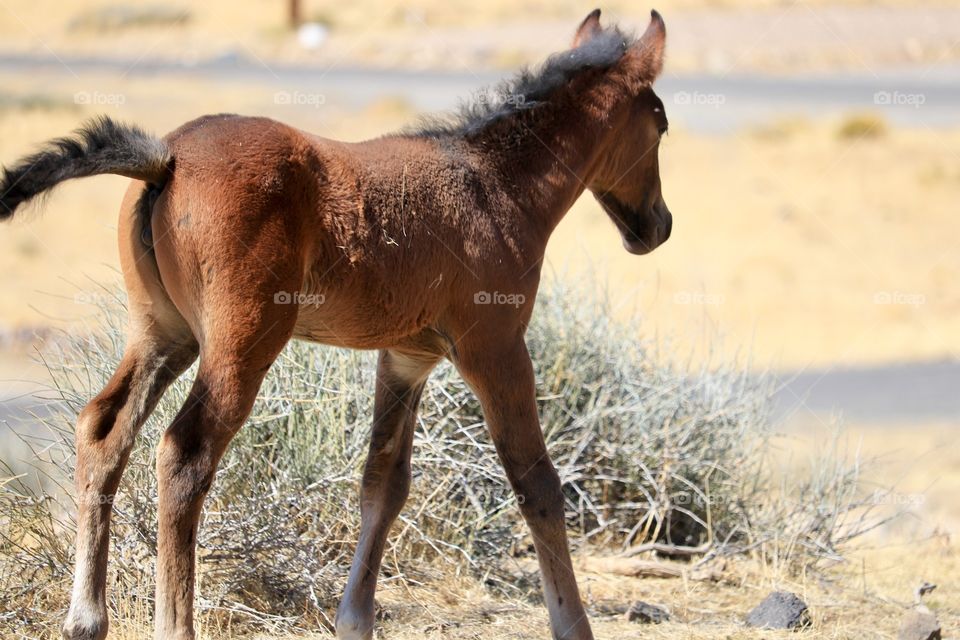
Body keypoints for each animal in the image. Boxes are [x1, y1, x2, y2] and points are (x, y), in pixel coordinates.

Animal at [0, 6, 672, 640]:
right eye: (661, 122)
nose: (657, 227)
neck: (494, 185)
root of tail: (166, 159)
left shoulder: (408, 358)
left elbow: (384, 483)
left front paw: (355, 620)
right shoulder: (496, 347)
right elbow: (537, 484)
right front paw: (573, 624)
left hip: (164, 334)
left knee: (103, 429)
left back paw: (85, 619)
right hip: (241, 343)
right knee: (184, 453)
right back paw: (172, 625)